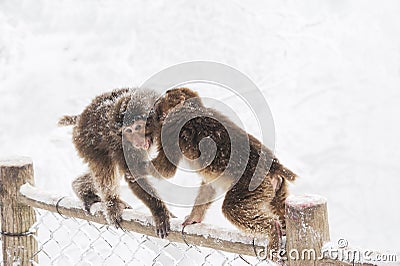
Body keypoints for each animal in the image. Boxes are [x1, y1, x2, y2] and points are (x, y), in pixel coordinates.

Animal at [58, 88, 173, 238]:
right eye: (128, 131)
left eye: (138, 127)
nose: (137, 141)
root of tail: (81, 116)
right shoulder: (122, 145)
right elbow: (133, 175)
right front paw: (159, 212)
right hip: (85, 142)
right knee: (104, 167)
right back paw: (111, 203)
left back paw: (80, 187)